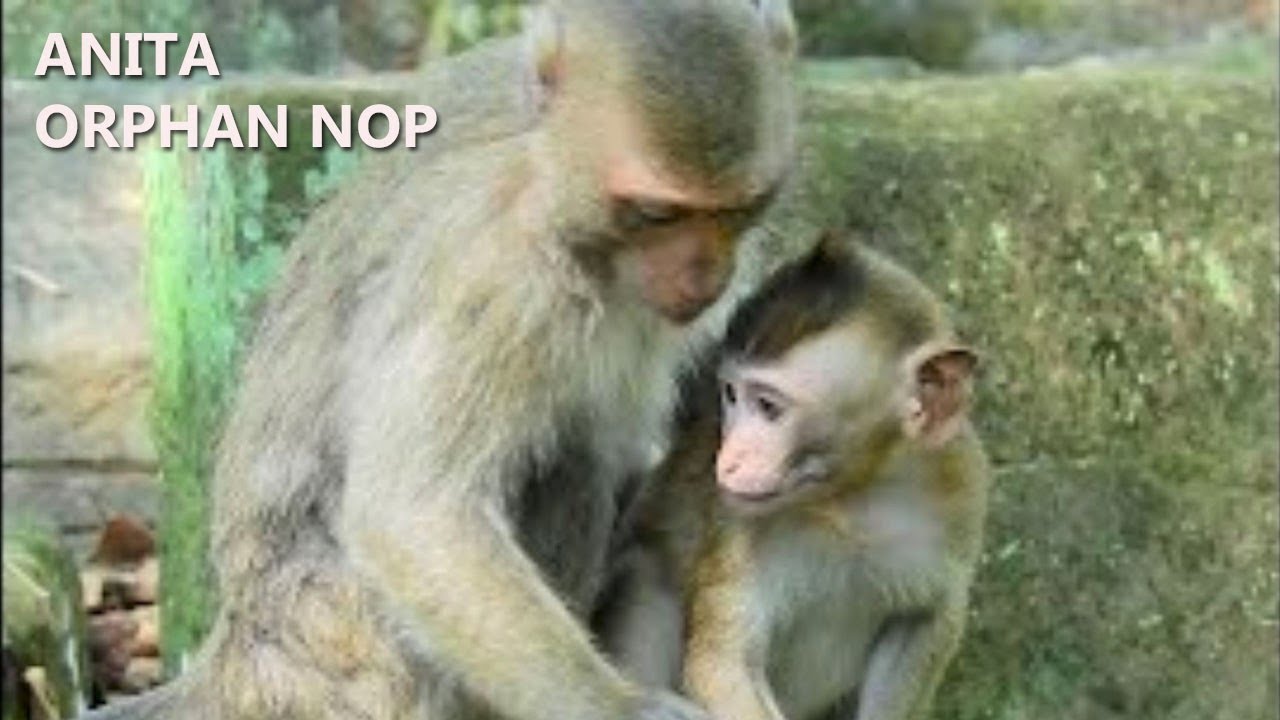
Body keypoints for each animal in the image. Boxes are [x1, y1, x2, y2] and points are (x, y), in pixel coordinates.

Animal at [79, 2, 798, 720]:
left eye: (742, 209)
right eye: (657, 213)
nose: (706, 273)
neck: (548, 167)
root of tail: (244, 644)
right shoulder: (497, 270)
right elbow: (415, 514)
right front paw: (622, 708)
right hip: (350, 645)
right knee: (568, 464)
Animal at [595, 234, 990, 720]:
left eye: (768, 407)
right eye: (731, 395)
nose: (727, 461)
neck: (851, 500)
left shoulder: (960, 492)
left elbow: (926, 619)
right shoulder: (738, 526)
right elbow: (723, 663)